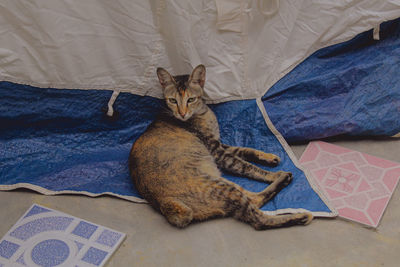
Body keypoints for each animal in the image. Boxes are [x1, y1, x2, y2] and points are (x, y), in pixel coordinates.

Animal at [130, 64, 314, 230]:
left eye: (191, 99)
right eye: (173, 100)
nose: (182, 113)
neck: (202, 113)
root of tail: (163, 204)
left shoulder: (219, 145)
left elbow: (244, 150)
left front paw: (268, 157)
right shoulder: (217, 151)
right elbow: (248, 167)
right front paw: (272, 174)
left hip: (225, 184)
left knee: (252, 198)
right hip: (219, 187)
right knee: (257, 217)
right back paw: (297, 207)